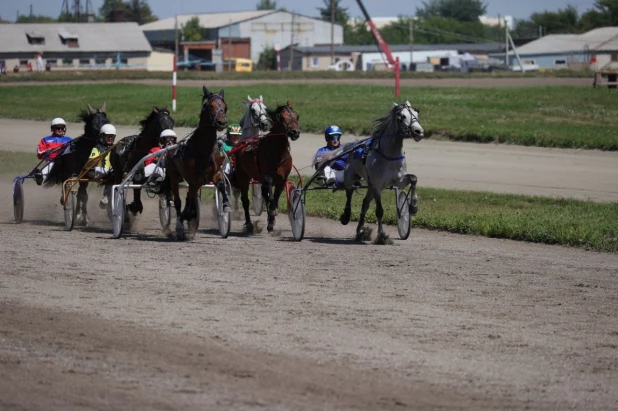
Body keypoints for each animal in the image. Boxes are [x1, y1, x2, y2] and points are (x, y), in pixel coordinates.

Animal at [164, 87, 229, 241]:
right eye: (210, 106)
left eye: (225, 107)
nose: (221, 122)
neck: (203, 150)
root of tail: (170, 149)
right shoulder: (194, 180)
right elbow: (187, 204)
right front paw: (183, 222)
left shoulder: (215, 174)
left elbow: (221, 186)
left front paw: (225, 204)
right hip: (173, 177)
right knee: (178, 202)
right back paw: (180, 225)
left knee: (189, 200)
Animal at [232, 100, 300, 235]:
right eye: (282, 117)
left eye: (296, 116)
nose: (295, 132)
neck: (277, 152)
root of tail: (242, 142)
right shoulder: (267, 176)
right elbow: (270, 196)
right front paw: (272, 212)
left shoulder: (282, 180)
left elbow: (275, 198)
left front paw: (272, 221)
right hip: (243, 176)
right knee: (245, 201)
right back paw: (249, 225)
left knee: (264, 194)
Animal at [336, 102, 424, 245]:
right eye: (402, 116)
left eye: (416, 114)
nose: (419, 131)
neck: (389, 155)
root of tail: (354, 145)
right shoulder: (378, 186)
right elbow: (379, 211)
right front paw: (382, 235)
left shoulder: (398, 181)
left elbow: (414, 179)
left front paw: (413, 207)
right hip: (351, 177)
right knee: (349, 193)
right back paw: (346, 216)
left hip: (370, 186)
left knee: (365, 204)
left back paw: (360, 231)